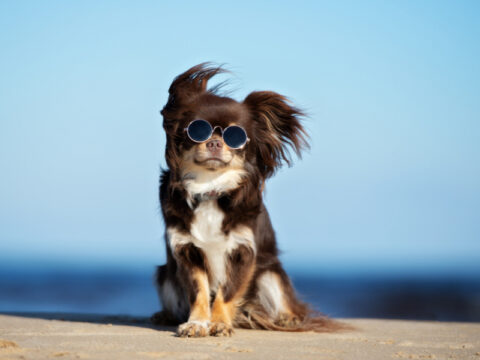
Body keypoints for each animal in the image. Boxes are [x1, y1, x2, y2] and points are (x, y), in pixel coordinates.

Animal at [152, 63, 344, 336]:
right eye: (196, 130)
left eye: (236, 136)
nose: (214, 142)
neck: (211, 188)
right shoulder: (187, 251)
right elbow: (199, 292)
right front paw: (197, 323)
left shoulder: (243, 252)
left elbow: (226, 293)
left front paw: (220, 323)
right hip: (164, 275)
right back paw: (165, 315)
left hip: (270, 273)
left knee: (283, 299)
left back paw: (287, 318)